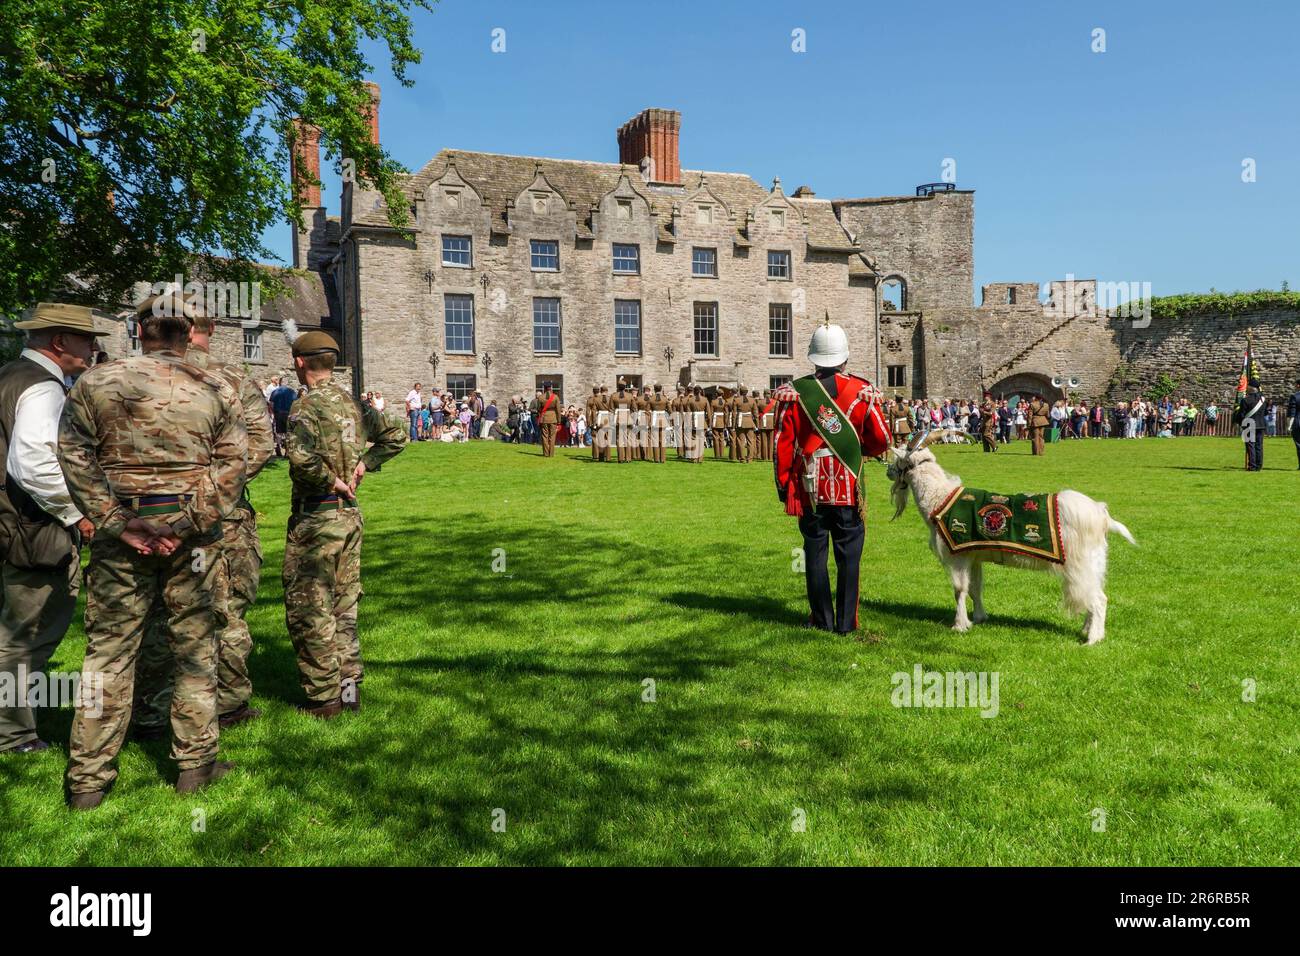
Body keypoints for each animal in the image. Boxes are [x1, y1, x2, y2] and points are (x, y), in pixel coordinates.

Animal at [883, 431, 1138, 642]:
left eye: (898, 460)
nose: (887, 471)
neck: (940, 498)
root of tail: (1101, 516)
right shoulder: (974, 556)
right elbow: (975, 588)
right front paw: (979, 617)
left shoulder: (958, 554)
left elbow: (959, 590)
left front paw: (960, 625)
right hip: (1094, 564)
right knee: (1094, 595)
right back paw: (1087, 629)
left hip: (1080, 563)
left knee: (1099, 599)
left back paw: (1092, 639)